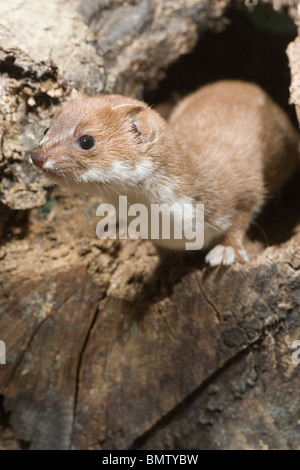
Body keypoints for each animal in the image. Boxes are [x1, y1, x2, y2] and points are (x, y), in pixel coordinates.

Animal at [29, 81, 298, 264]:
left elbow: (242, 215)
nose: (37, 155)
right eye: (47, 128)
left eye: (86, 140)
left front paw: (227, 250)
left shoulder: (243, 184)